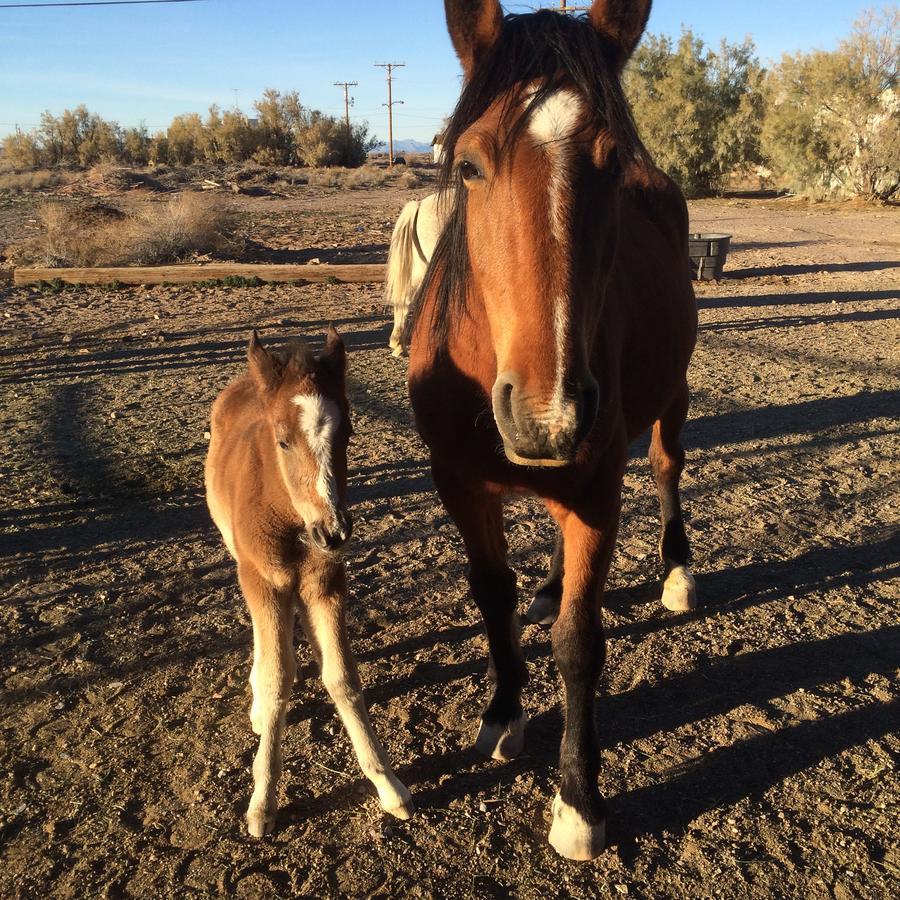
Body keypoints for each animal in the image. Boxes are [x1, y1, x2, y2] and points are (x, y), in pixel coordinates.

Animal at [204, 328, 412, 836]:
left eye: (349, 433)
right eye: (282, 441)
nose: (332, 532)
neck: (292, 520)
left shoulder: (326, 582)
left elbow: (342, 677)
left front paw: (387, 782)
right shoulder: (262, 579)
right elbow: (278, 679)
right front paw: (262, 802)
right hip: (244, 562)